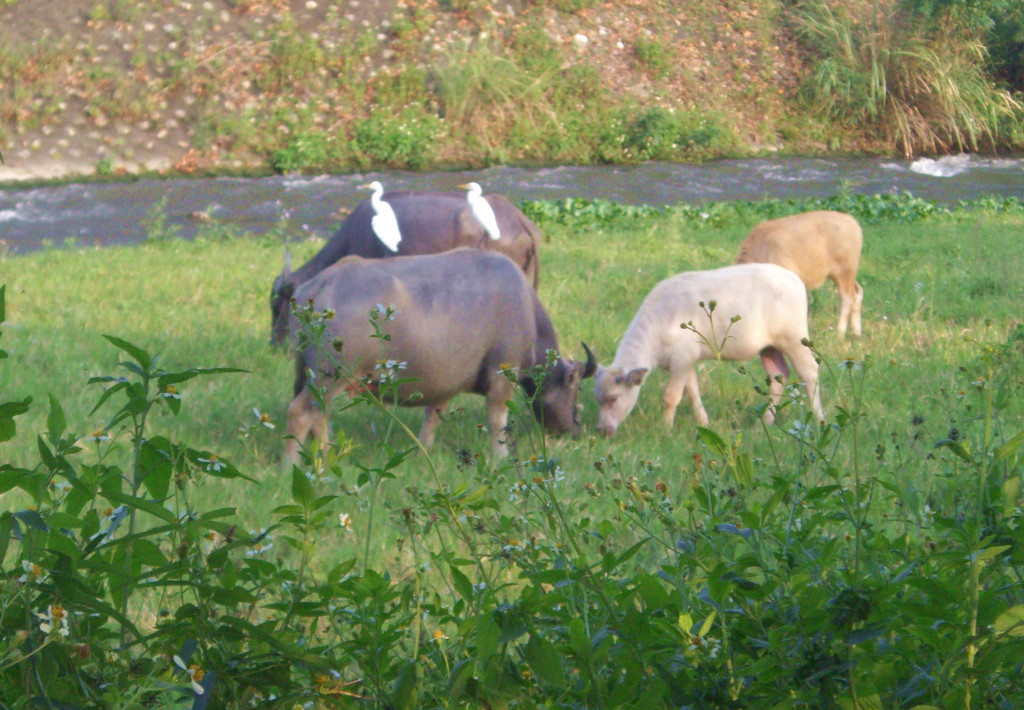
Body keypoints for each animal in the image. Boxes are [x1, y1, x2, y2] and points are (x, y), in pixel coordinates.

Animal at [284, 248, 598, 458]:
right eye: (575, 391)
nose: (575, 430)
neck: (526, 310)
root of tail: (316, 286)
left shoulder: (442, 385)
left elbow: (433, 416)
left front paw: (424, 449)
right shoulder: (502, 377)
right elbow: (498, 421)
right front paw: (501, 458)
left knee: (318, 417)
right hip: (330, 375)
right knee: (301, 413)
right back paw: (293, 465)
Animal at [593, 262, 823, 434]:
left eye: (613, 398)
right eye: (598, 399)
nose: (602, 430)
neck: (660, 320)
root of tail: (794, 279)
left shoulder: (682, 359)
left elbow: (671, 396)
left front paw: (665, 428)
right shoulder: (685, 362)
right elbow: (692, 392)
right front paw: (704, 423)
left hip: (794, 339)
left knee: (809, 372)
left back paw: (818, 419)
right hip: (769, 347)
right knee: (778, 375)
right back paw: (764, 423)